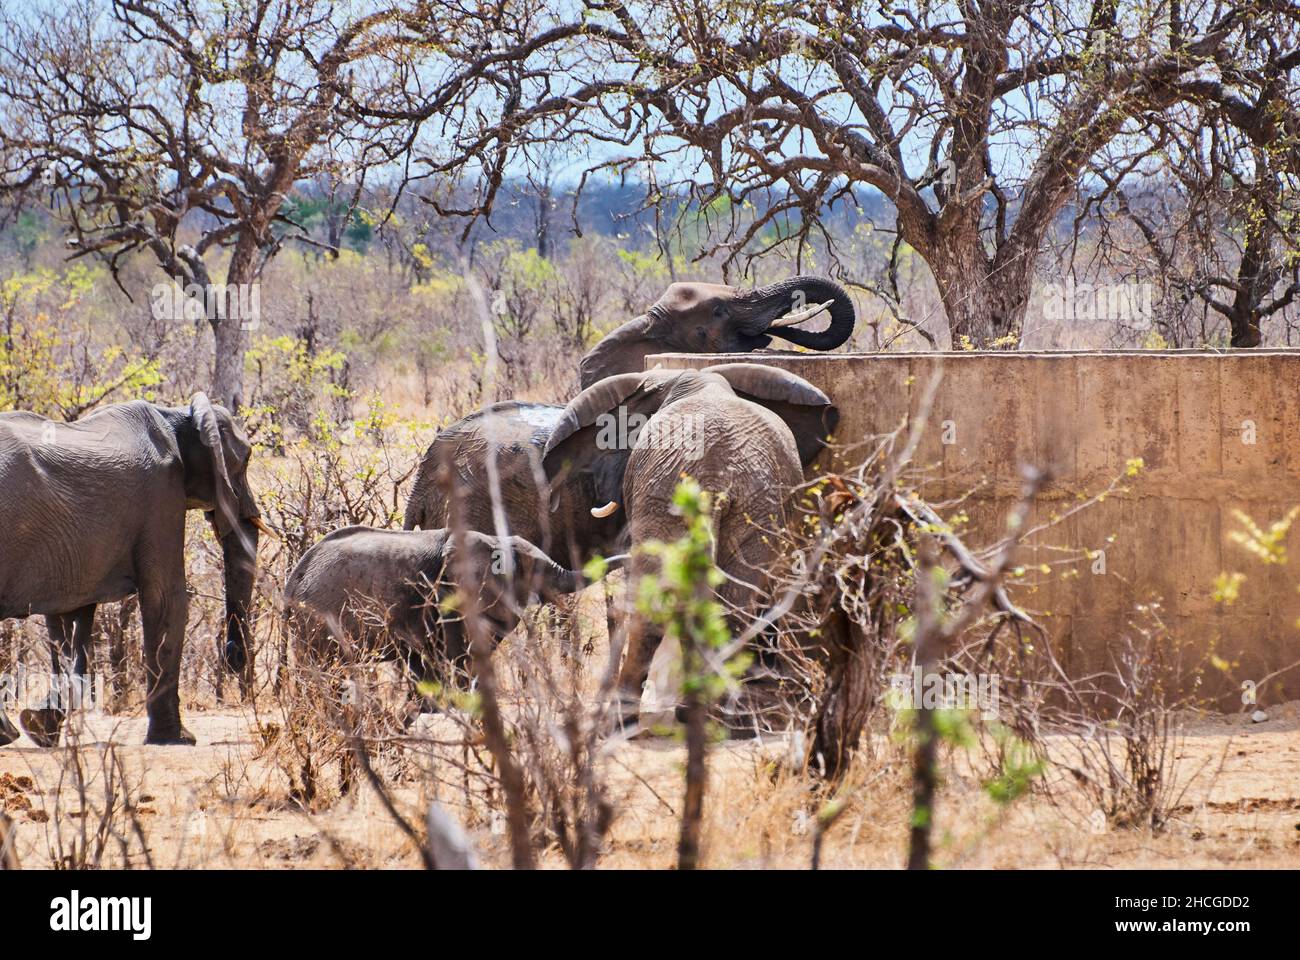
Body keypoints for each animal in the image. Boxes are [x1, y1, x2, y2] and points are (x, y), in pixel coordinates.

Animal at [0, 394, 264, 747]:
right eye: (245, 460)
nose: (232, 656)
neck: (177, 415)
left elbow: (72, 619)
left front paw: (39, 728)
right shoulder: (162, 495)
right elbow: (167, 599)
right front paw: (178, 739)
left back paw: (9, 733)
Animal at [283, 526, 583, 702]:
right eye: (533, 570)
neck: (490, 539)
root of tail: (294, 577)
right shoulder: (447, 600)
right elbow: (459, 662)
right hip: (317, 619)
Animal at [541, 362, 839, 732]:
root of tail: (715, 479)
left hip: (667, 499)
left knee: (658, 604)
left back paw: (627, 718)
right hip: (753, 509)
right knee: (733, 607)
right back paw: (714, 713)